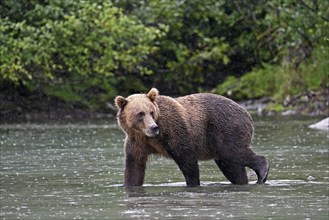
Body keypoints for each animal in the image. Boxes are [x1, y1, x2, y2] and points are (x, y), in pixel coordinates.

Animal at [114, 88, 268, 186]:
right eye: (140, 114)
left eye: (151, 112)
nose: (154, 127)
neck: (150, 137)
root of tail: (247, 113)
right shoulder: (137, 142)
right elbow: (134, 168)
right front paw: (129, 185)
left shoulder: (174, 131)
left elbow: (187, 161)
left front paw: (193, 184)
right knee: (231, 165)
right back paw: (242, 181)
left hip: (224, 128)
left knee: (232, 151)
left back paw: (262, 172)